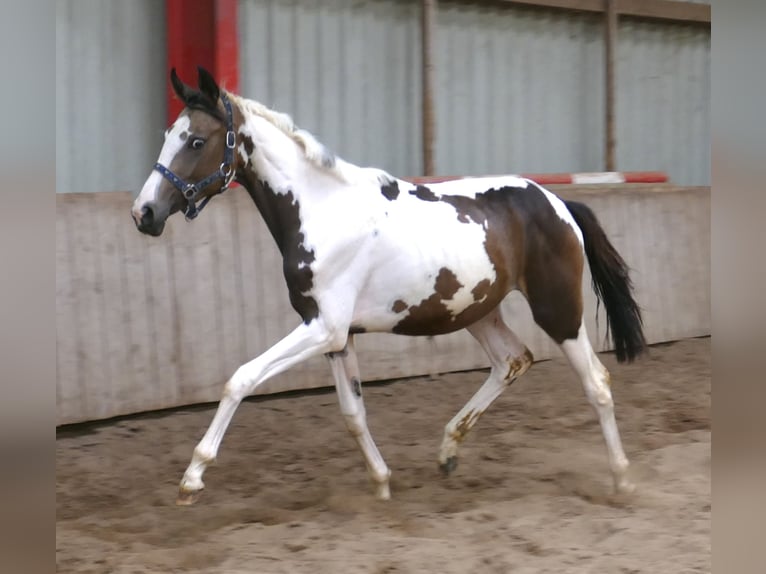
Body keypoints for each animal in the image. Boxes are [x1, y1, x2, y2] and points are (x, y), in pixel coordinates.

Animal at [131, 66, 646, 505]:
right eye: (167, 136)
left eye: (197, 140)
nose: (144, 214)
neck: (321, 210)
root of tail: (558, 202)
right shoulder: (337, 336)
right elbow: (352, 413)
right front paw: (381, 483)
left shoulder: (324, 328)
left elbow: (241, 378)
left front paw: (192, 479)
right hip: (477, 310)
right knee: (512, 361)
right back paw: (448, 452)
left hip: (558, 309)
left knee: (596, 382)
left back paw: (622, 479)